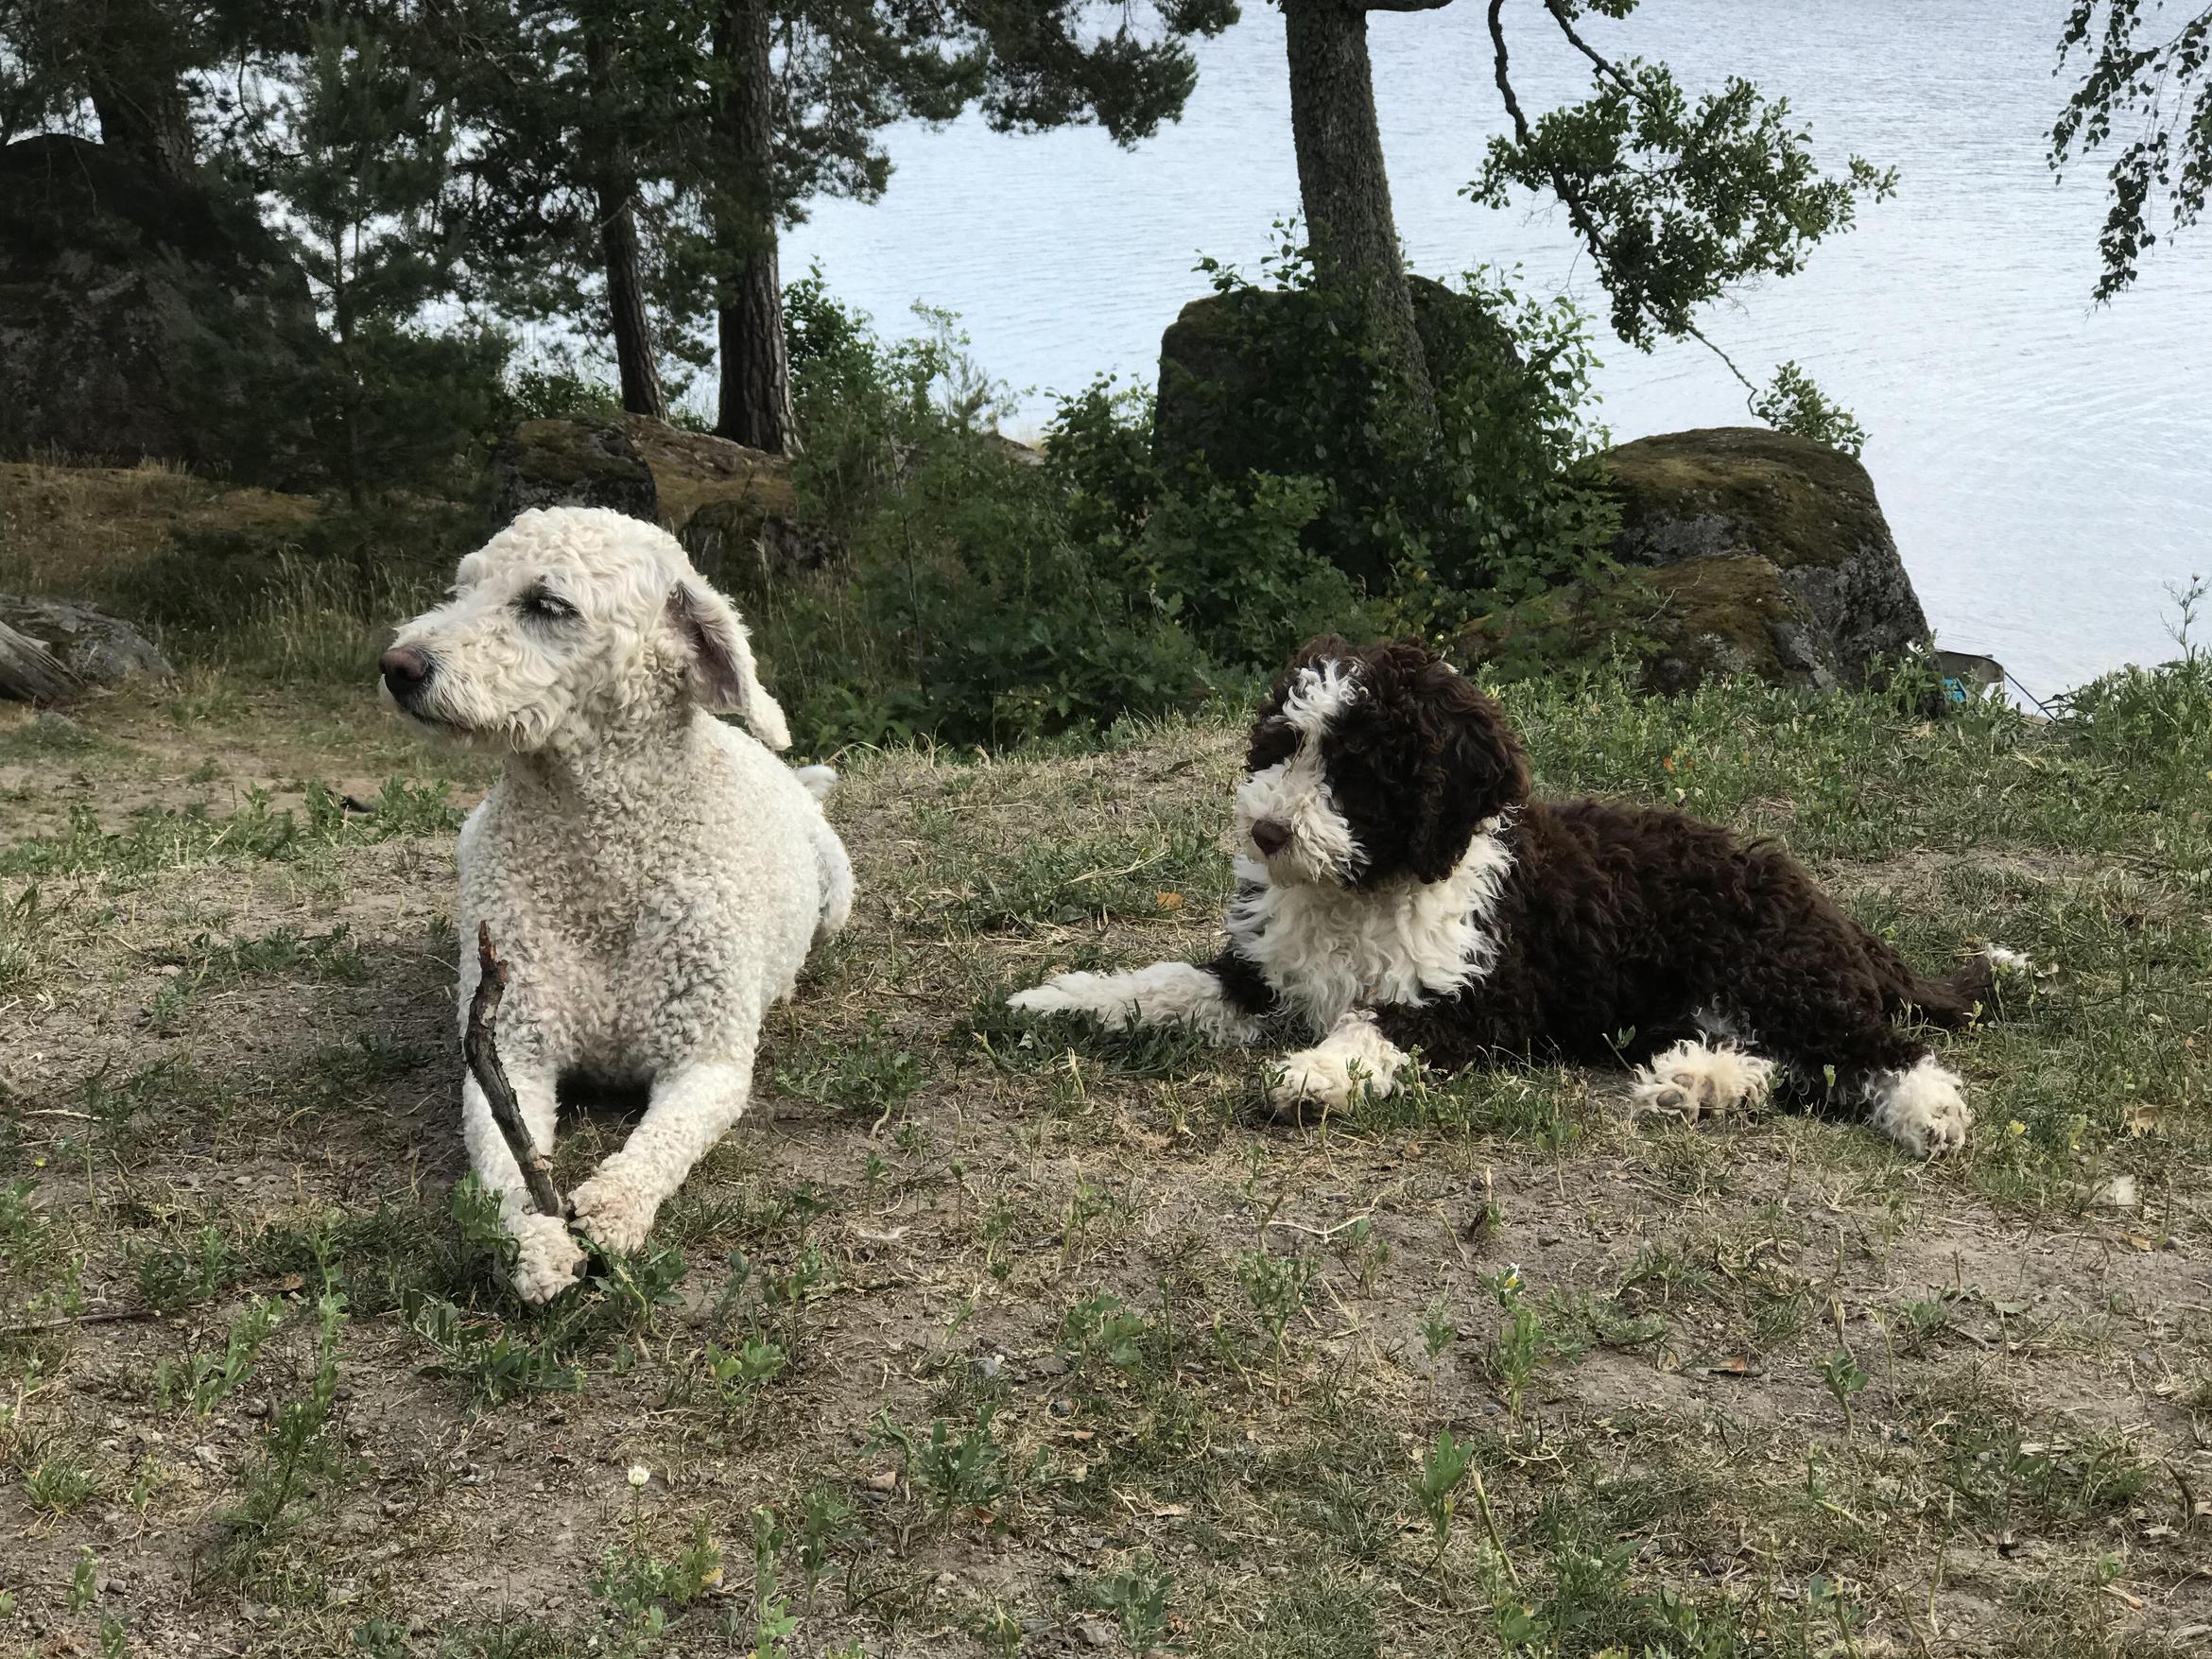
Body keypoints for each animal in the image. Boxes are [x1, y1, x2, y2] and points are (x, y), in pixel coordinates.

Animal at [381, 506, 853, 1300]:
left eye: (547, 604)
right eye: (464, 587)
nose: (399, 665)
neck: (599, 868)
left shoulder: (708, 1062)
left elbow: (661, 1143)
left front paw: (610, 1208)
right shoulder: (511, 1048)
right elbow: (508, 1161)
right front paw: (538, 1240)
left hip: (841, 886)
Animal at [1012, 635, 2014, 1156]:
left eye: (1358, 767)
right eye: (1281, 743)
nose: (1266, 832)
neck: (1364, 887)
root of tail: (1832, 911)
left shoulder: (1478, 1000)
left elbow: (1371, 1024)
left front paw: (1317, 1075)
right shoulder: (1259, 976)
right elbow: (1167, 984)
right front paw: (1063, 999)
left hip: (1771, 965)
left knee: (1876, 1050)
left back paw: (1928, 1111)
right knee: (1795, 1065)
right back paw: (1699, 1082)